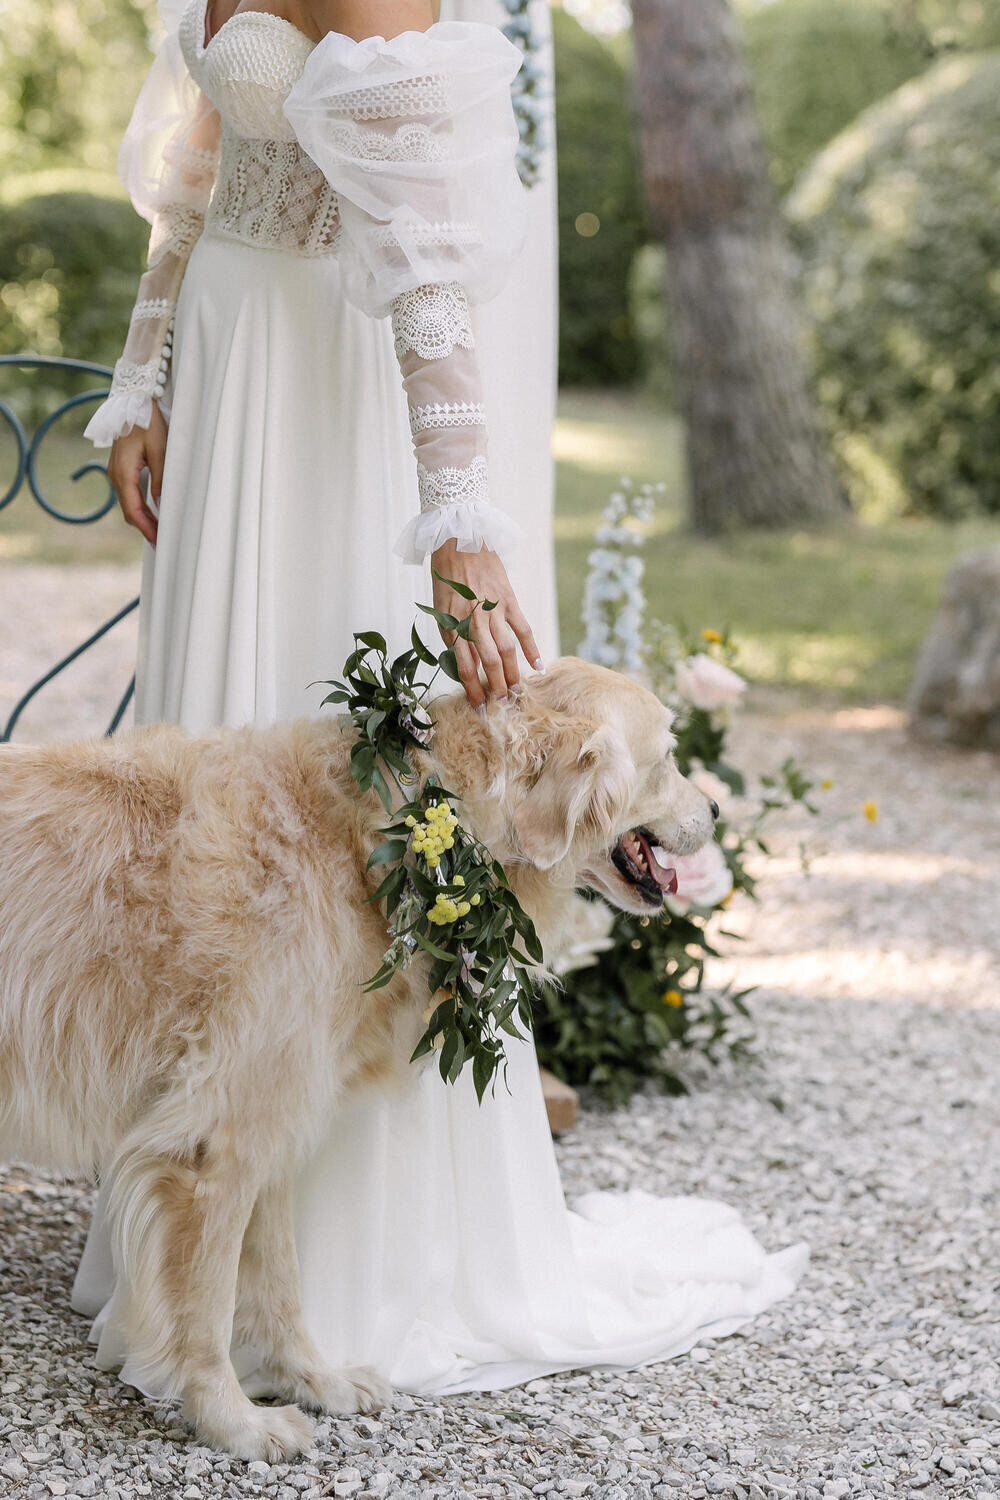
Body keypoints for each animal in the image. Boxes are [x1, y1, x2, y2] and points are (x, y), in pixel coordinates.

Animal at [0, 657, 719, 1452]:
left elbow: (278, 1281)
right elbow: (209, 1301)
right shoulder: (216, 1144)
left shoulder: (271, 1122)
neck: (391, 835)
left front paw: (315, 1383)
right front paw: (231, 1421)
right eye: (667, 758)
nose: (719, 811)